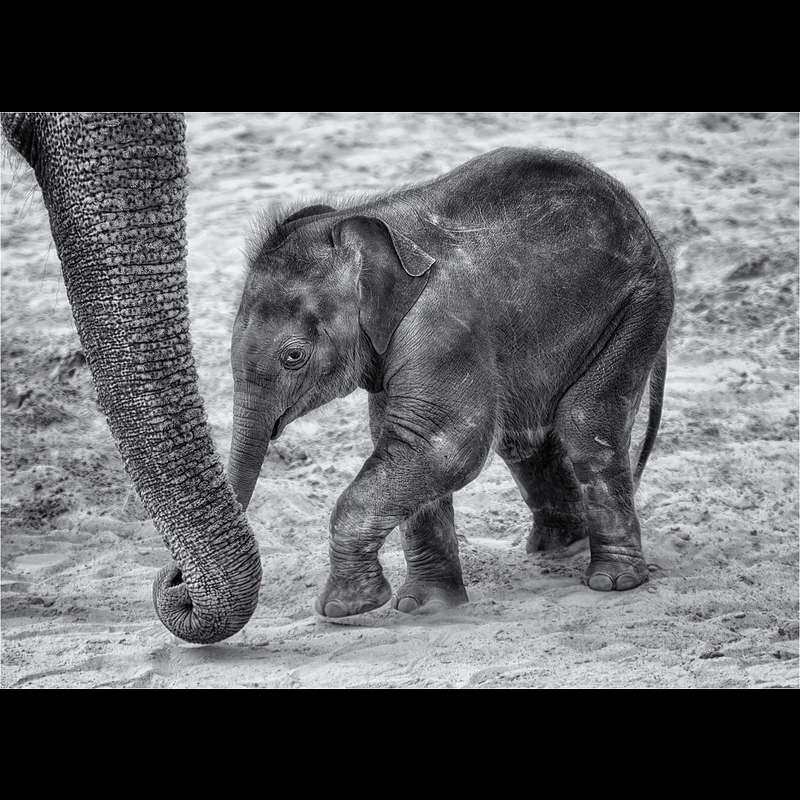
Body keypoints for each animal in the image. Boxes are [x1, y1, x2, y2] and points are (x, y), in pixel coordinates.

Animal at [228, 147, 672, 616]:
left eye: (293, 356)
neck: (364, 222)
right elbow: (402, 444)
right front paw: (427, 607)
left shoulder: (443, 329)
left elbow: (443, 445)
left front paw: (345, 607)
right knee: (522, 438)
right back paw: (559, 547)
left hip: (639, 306)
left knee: (585, 422)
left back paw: (612, 581)